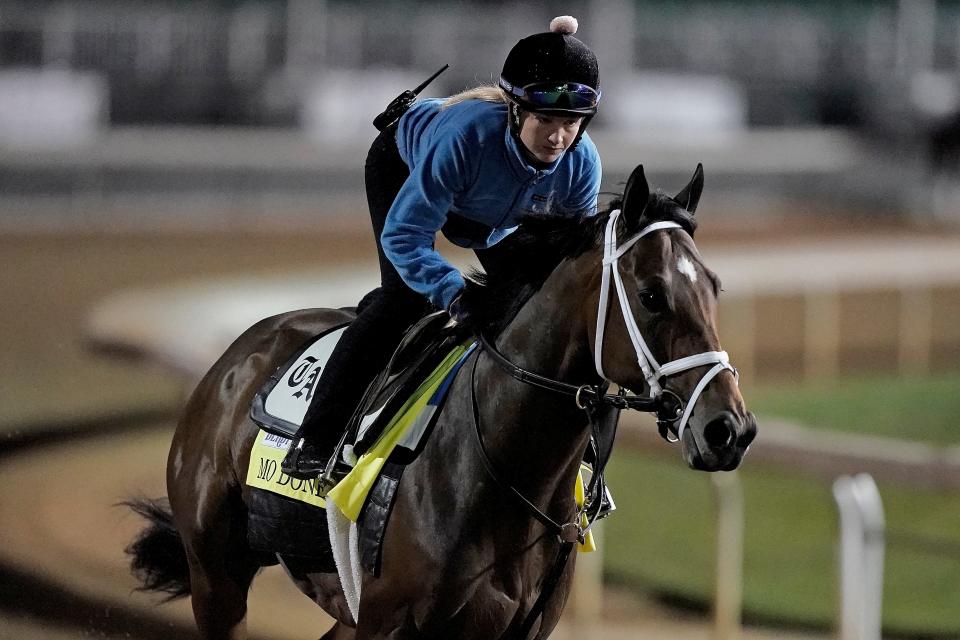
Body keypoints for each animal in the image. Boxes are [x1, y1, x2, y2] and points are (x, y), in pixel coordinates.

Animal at [127, 165, 756, 640]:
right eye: (651, 294)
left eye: (714, 286)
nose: (730, 429)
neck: (502, 473)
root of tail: (237, 356)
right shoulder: (386, 626)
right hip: (216, 575)